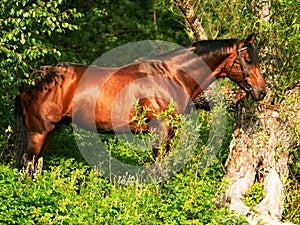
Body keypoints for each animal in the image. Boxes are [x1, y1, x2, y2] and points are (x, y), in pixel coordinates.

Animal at [14, 33, 268, 171]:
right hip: (39, 130)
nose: (261, 91)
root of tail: (32, 78)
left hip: (51, 130)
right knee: (28, 163)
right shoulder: (160, 131)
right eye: (247, 58)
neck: (171, 76)